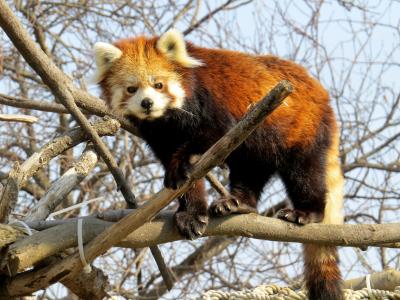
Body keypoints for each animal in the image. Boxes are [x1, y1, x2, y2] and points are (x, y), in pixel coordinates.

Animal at [93, 28, 344, 300]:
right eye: (131, 88)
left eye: (158, 84)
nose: (147, 103)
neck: (168, 120)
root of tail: (321, 92)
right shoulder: (159, 135)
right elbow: (185, 177)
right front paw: (190, 213)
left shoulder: (212, 103)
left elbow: (211, 136)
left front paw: (183, 162)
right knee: (250, 171)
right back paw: (238, 204)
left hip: (301, 129)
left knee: (304, 172)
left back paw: (306, 212)